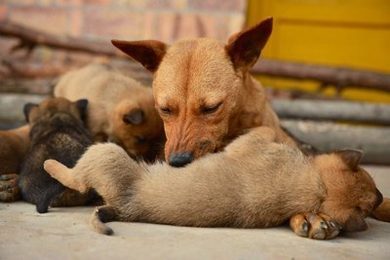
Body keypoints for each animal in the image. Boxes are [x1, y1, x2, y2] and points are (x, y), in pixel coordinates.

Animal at [44, 127, 382, 239]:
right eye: (372, 181)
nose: (381, 198)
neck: (316, 186)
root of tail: (121, 209)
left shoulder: (251, 142)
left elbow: (267, 130)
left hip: (104, 154)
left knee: (76, 179)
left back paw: (51, 164)